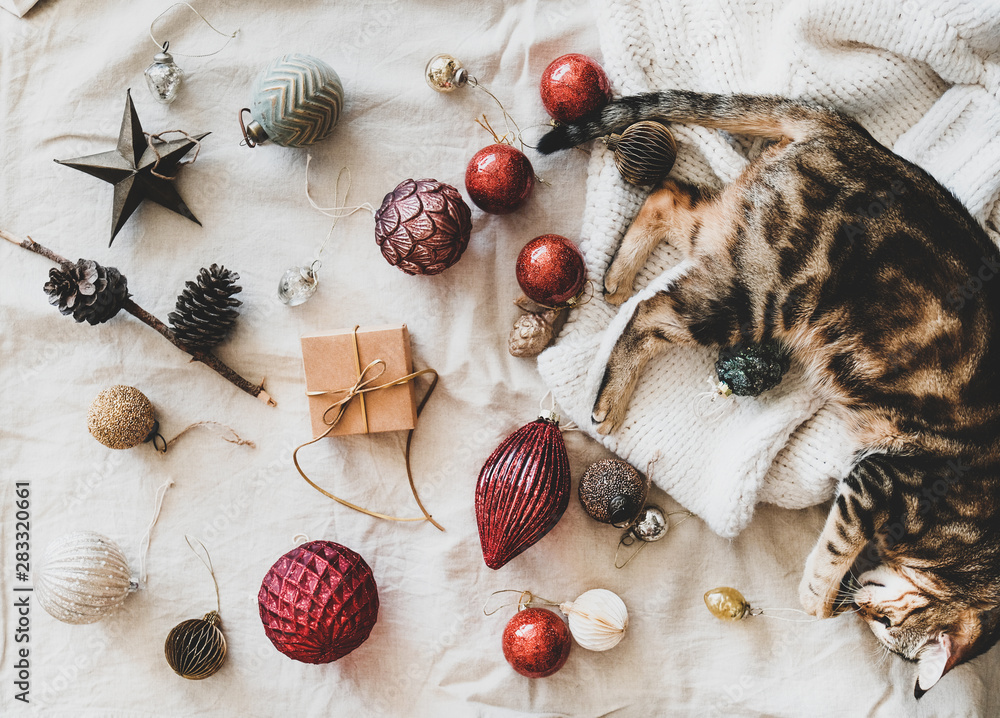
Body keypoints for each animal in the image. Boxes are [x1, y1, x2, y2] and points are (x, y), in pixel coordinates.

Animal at [540, 90, 1000, 696]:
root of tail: (842, 131)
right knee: (650, 312)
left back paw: (617, 275)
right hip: (756, 299)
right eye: (883, 623)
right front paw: (821, 601)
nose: (860, 610)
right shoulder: (879, 479)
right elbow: (832, 555)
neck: (973, 557)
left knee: (672, 198)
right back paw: (607, 397)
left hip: (734, 252)